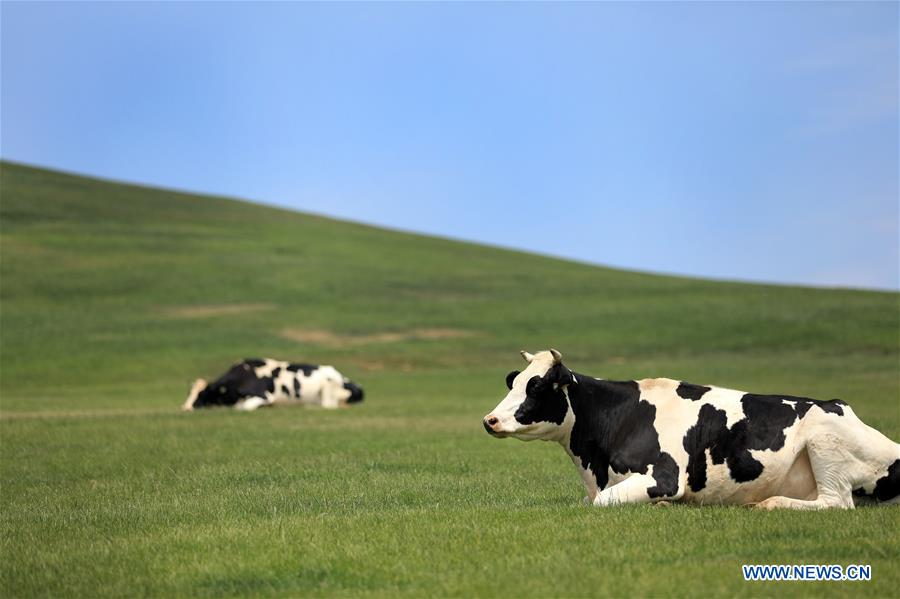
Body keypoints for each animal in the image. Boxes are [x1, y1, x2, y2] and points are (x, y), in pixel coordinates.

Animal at [181, 356, 364, 412]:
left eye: (202, 394)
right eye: (189, 393)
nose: (185, 407)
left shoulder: (264, 395)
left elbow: (243, 408)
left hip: (328, 389)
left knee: (328, 406)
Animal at [486, 352, 900, 510]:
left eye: (537, 387)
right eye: (514, 382)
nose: (489, 420)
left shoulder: (665, 476)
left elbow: (605, 502)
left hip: (824, 438)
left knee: (836, 501)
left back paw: (767, 503)